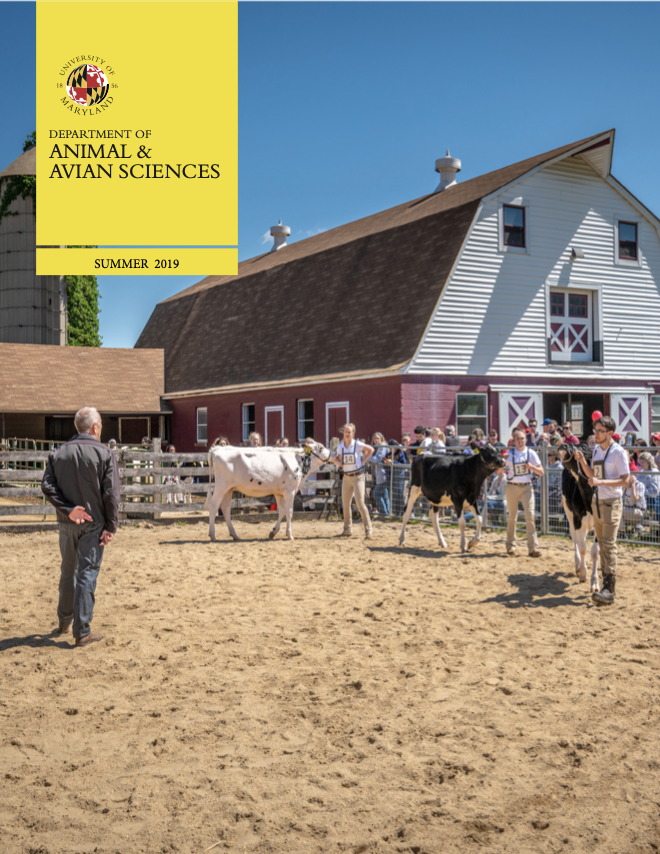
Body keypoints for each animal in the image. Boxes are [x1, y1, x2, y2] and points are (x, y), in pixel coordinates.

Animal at [204, 442, 332, 540]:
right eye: (321, 447)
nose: (331, 453)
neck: (297, 461)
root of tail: (217, 449)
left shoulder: (279, 493)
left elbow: (282, 511)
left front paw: (273, 532)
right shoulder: (289, 491)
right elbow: (289, 512)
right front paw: (289, 535)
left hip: (229, 488)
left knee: (225, 508)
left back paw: (234, 535)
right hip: (221, 486)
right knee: (213, 505)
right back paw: (213, 535)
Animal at [560, 444, 600, 592]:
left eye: (583, 448)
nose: (564, 444)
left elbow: (595, 552)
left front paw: (595, 582)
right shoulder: (577, 518)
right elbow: (583, 548)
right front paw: (583, 573)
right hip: (568, 511)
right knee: (574, 537)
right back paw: (577, 565)